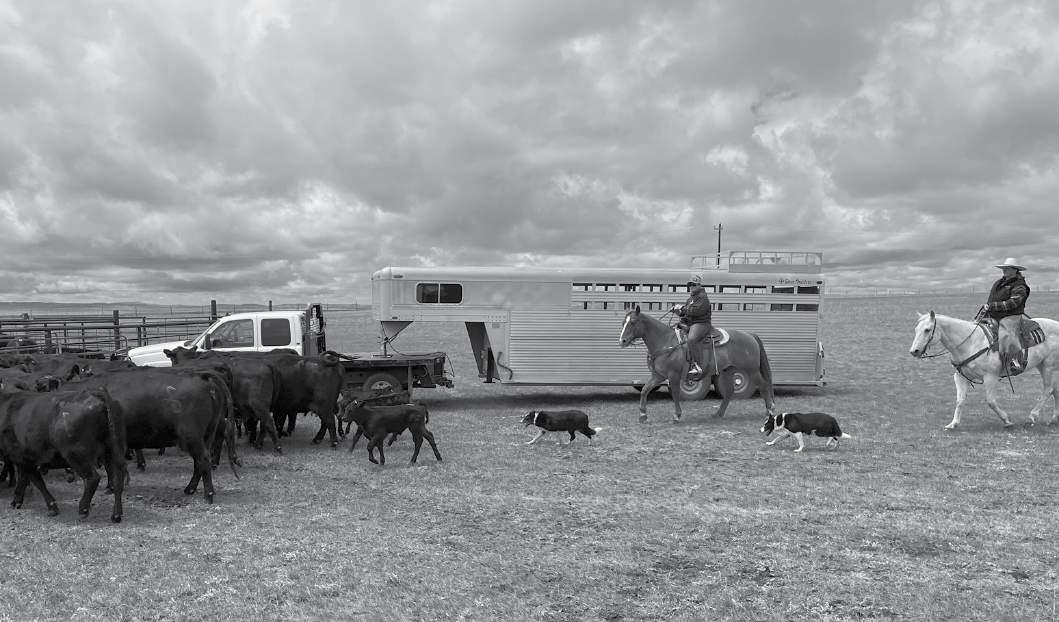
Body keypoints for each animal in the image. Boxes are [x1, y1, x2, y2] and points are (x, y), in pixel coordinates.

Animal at [0, 388, 127, 521]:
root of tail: (95, 393)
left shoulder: (22, 458)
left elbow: (38, 482)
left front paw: (52, 508)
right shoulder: (23, 460)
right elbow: (24, 479)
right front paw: (16, 501)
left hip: (76, 455)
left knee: (92, 478)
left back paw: (83, 509)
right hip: (113, 452)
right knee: (117, 480)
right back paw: (116, 515)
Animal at [618, 305, 775, 423]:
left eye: (633, 322)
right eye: (623, 322)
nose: (622, 341)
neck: (665, 341)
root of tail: (750, 335)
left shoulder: (673, 375)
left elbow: (675, 393)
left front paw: (677, 415)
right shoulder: (658, 375)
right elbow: (645, 390)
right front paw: (643, 416)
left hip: (752, 370)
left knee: (763, 386)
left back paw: (770, 412)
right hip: (728, 370)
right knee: (730, 391)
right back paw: (718, 414)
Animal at [908, 310, 1059, 429]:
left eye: (927, 329)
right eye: (915, 329)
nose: (914, 351)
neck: (970, 343)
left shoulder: (990, 377)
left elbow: (990, 401)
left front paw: (1007, 420)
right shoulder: (960, 376)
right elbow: (960, 400)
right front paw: (953, 423)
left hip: (1048, 366)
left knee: (1048, 389)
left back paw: (1032, 416)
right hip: (1045, 366)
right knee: (1055, 390)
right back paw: (1054, 419)